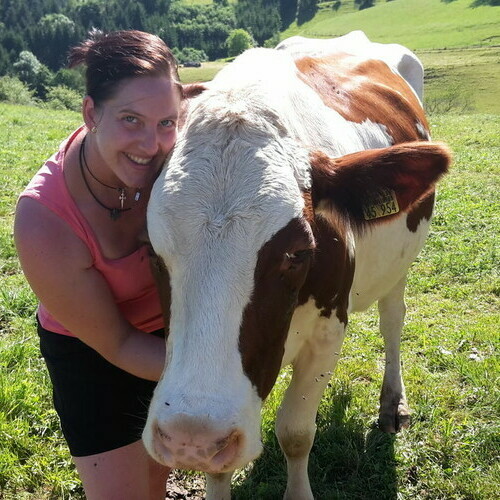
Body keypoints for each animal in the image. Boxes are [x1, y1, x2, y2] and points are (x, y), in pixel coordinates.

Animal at [143, 33, 452, 498]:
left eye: (297, 253)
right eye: (151, 250)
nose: (190, 437)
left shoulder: (327, 333)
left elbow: (295, 432)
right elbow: (219, 469)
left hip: (400, 264)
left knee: (393, 320)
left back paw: (392, 403)